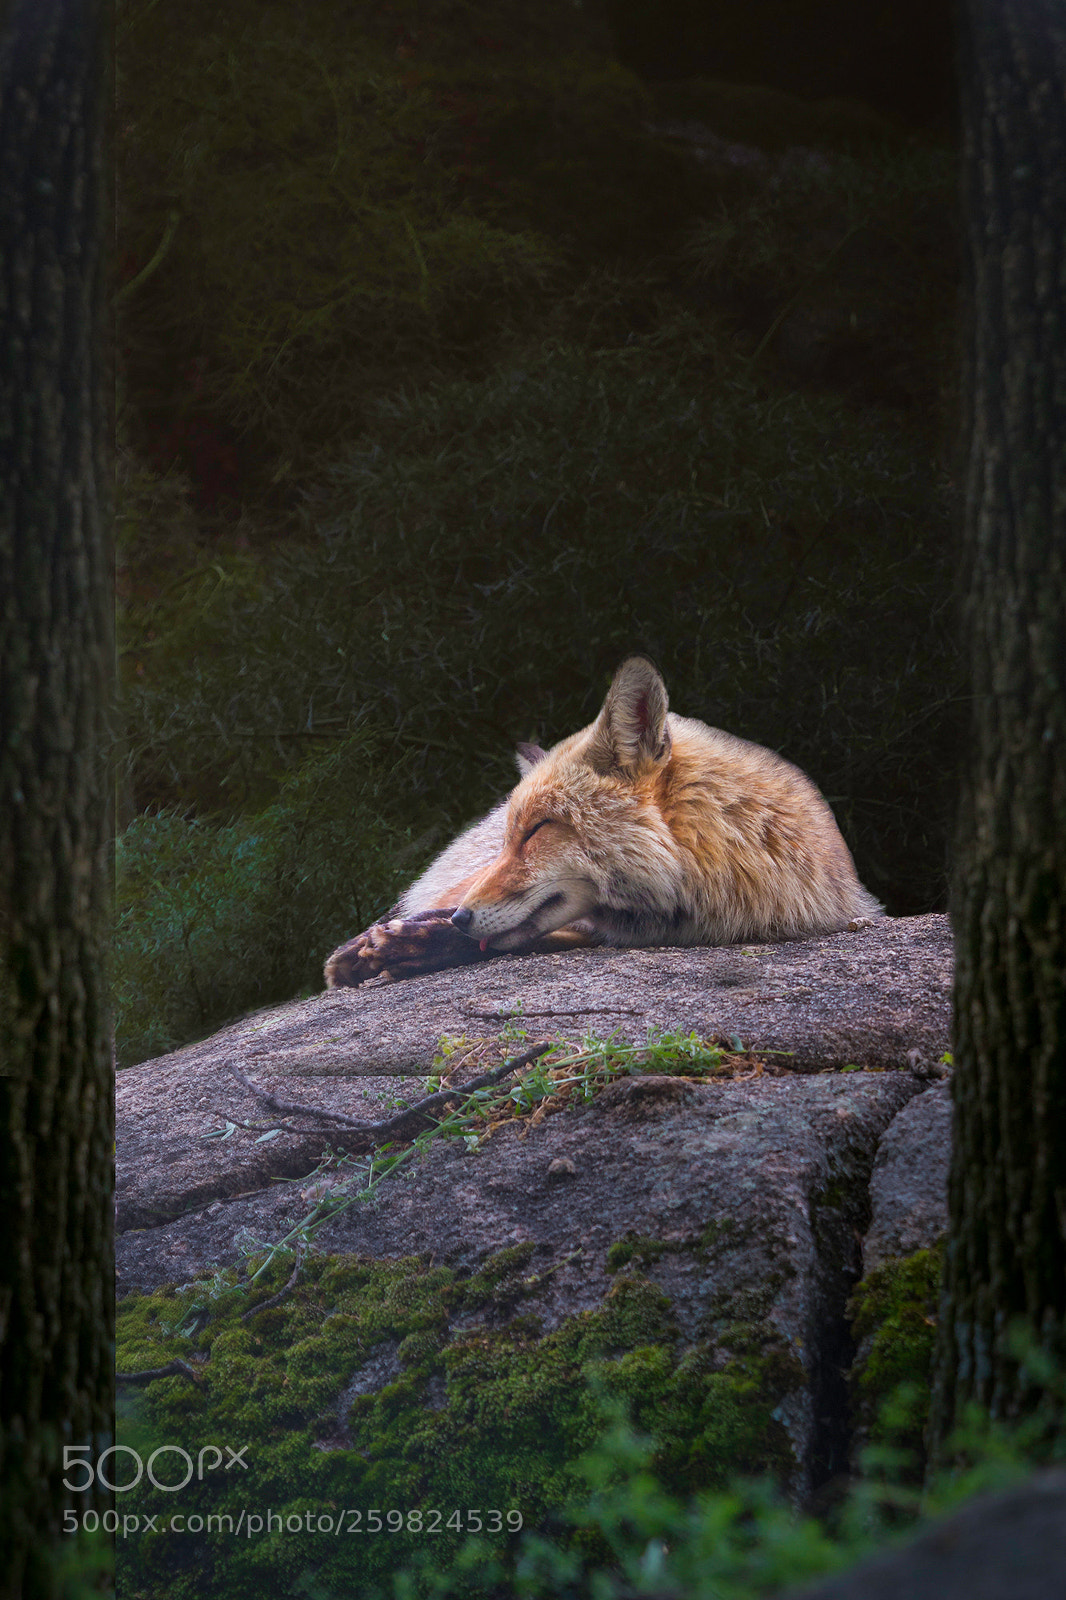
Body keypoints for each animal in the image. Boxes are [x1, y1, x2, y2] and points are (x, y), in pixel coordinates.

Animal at [324, 657, 882, 988]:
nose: (463, 917)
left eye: (536, 831)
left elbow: (525, 939)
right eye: (510, 838)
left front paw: (415, 947)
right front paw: (397, 942)